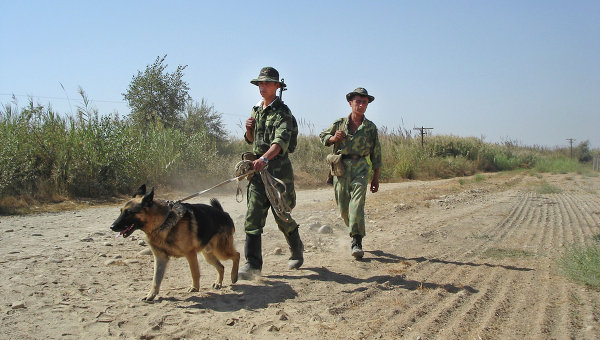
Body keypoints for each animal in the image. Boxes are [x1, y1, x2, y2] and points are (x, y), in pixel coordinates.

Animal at [110, 185, 239, 302]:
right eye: (121, 211)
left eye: (129, 213)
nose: (112, 227)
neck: (162, 221)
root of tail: (224, 213)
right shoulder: (160, 258)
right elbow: (156, 279)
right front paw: (151, 295)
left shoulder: (190, 254)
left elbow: (194, 272)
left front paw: (195, 287)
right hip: (209, 255)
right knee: (221, 267)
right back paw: (218, 283)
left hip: (221, 251)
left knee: (236, 255)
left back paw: (234, 275)